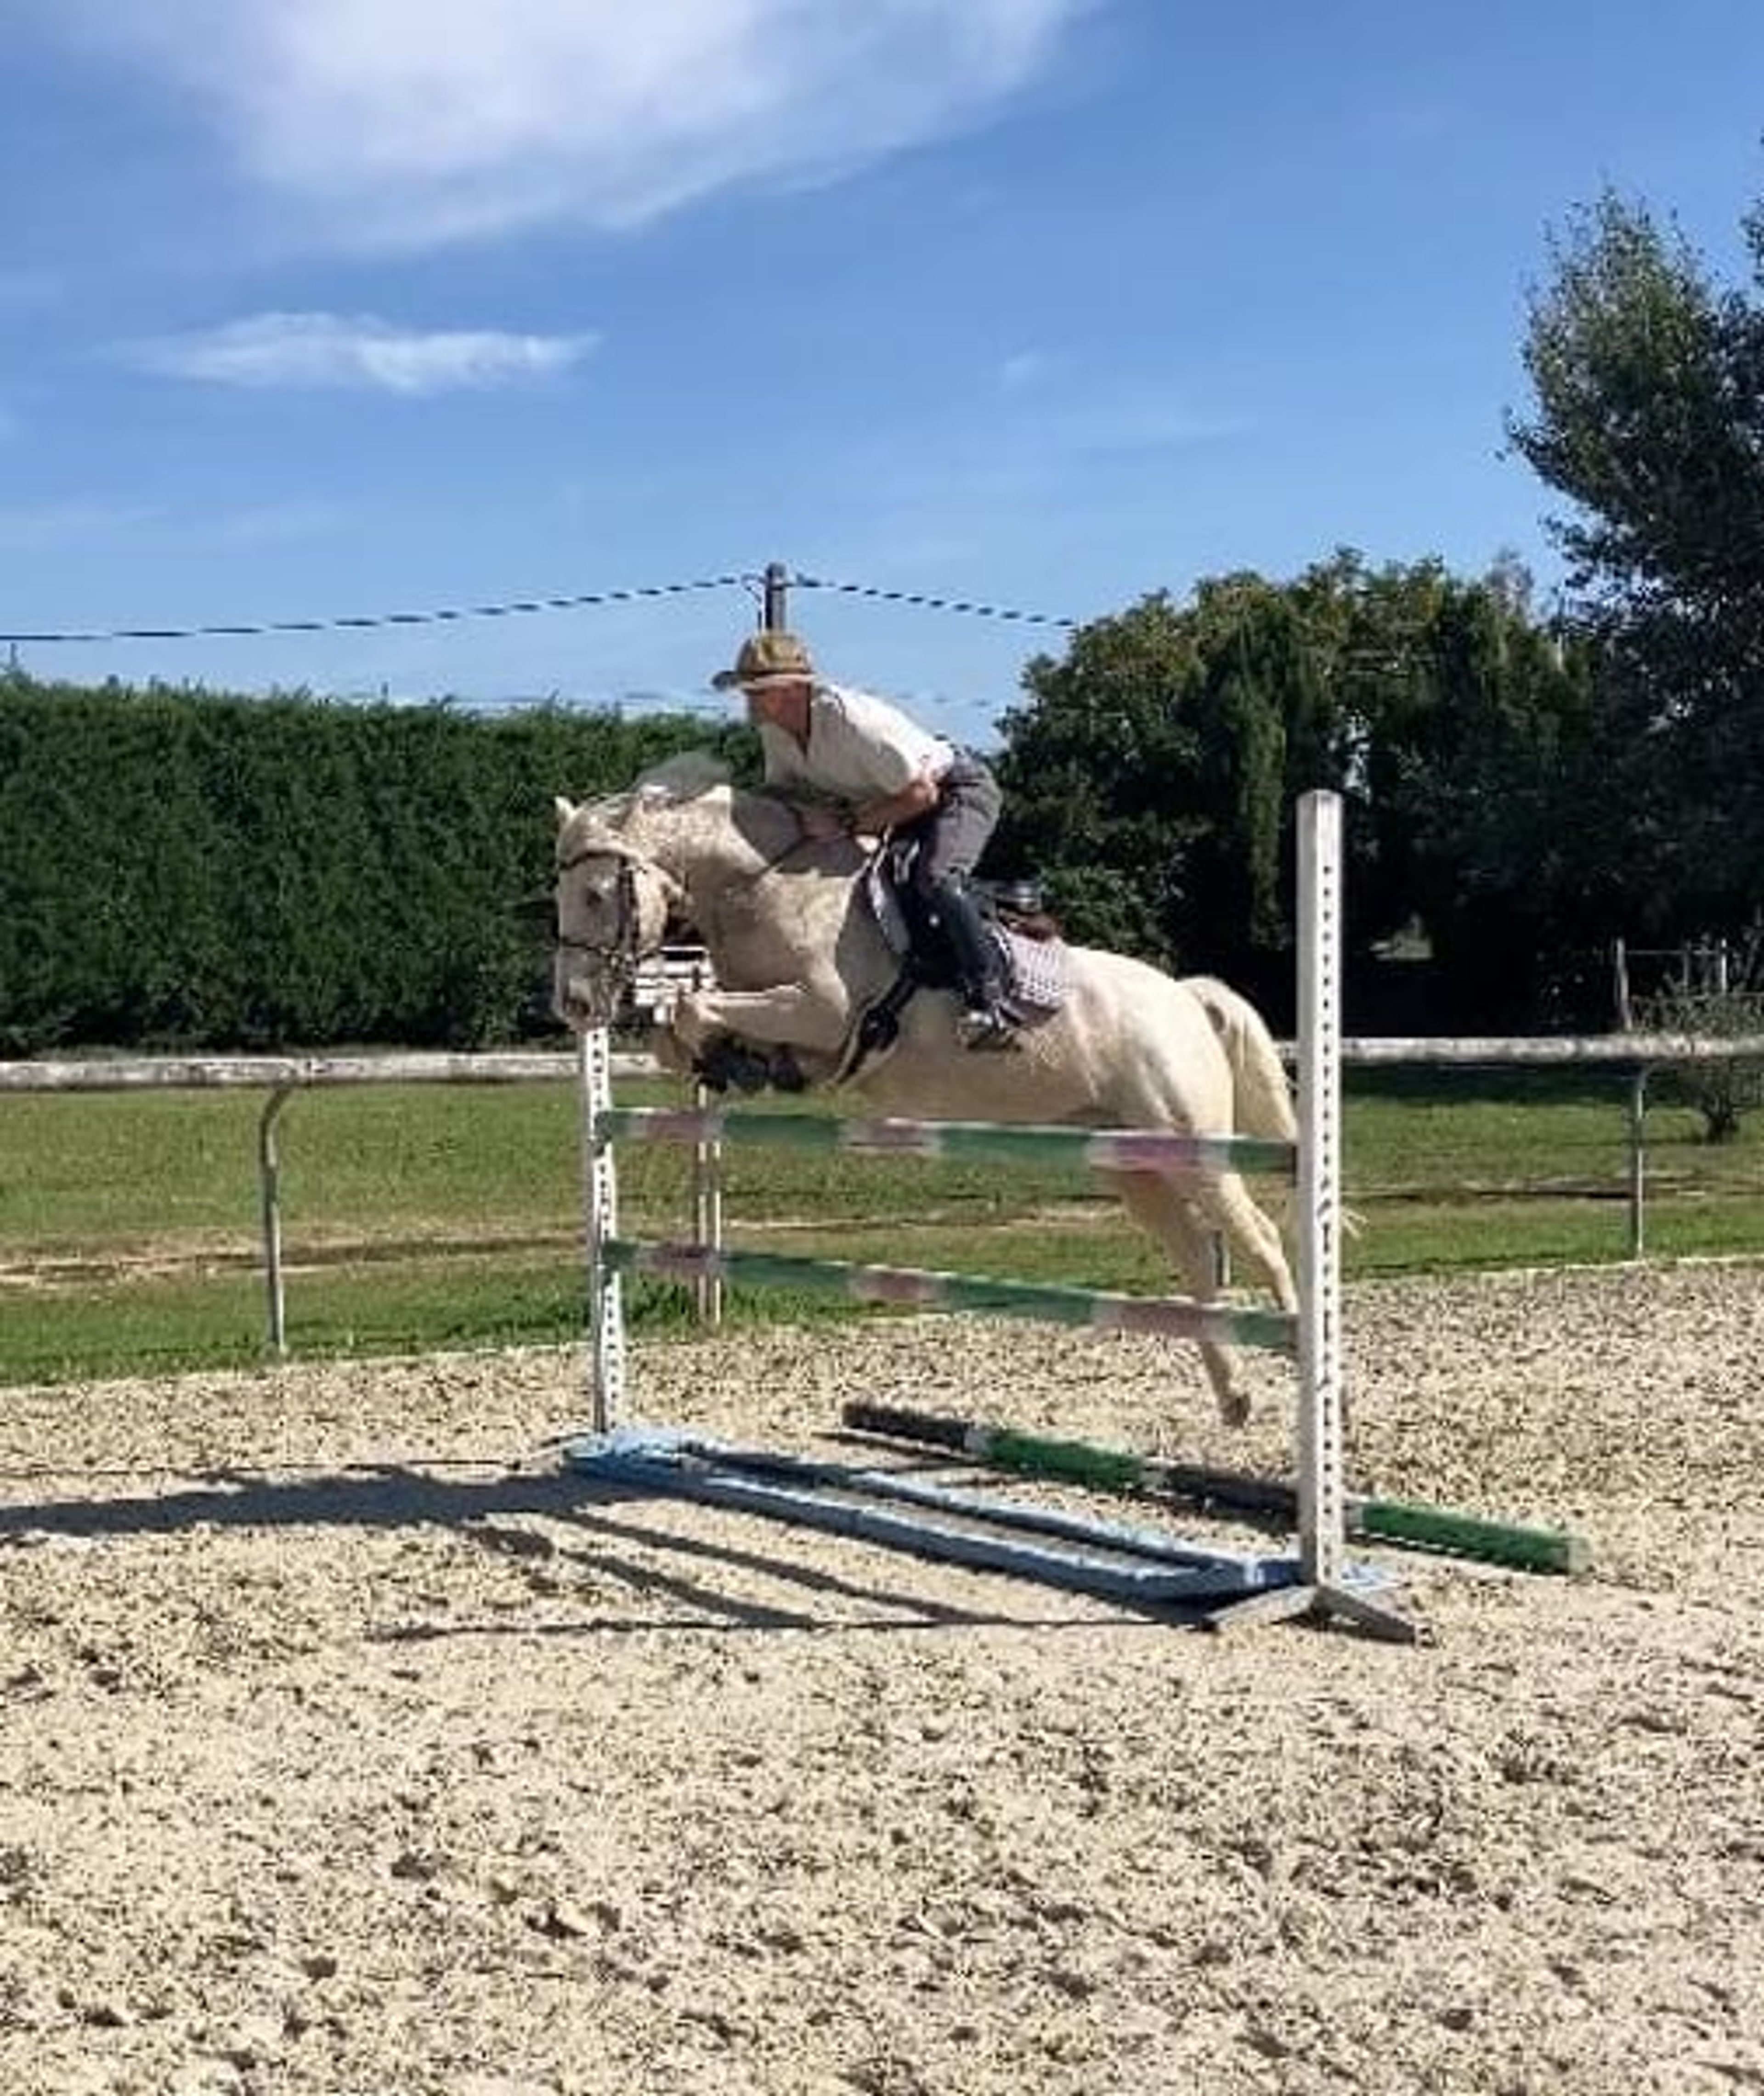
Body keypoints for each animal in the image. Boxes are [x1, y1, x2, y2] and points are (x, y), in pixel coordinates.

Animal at [552, 752, 1299, 1426]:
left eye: (595, 895)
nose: (576, 1006)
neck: (764, 887)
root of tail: (1185, 997)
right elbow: (681, 1029)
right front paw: (738, 1065)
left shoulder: (822, 1011)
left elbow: (690, 1007)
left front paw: (738, 1059)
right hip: (1131, 1157)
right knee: (1195, 1252)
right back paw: (1234, 1397)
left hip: (1191, 1141)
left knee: (1260, 1235)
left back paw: (1307, 1367)